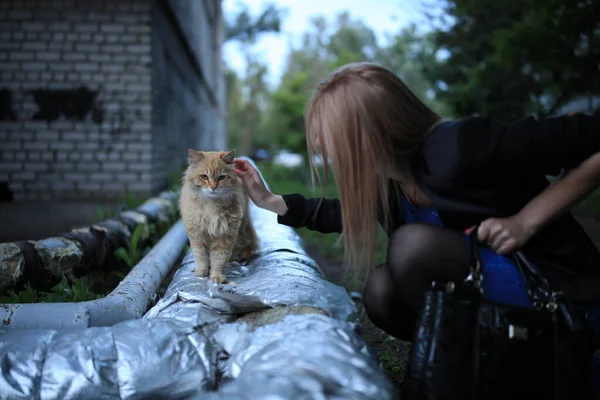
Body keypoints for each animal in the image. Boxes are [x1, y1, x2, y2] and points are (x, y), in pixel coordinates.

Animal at [180, 148, 260, 282]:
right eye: (204, 176)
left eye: (222, 177)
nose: (213, 187)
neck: (211, 205)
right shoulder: (198, 235)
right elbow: (201, 257)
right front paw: (201, 272)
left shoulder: (225, 235)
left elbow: (219, 259)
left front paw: (217, 277)